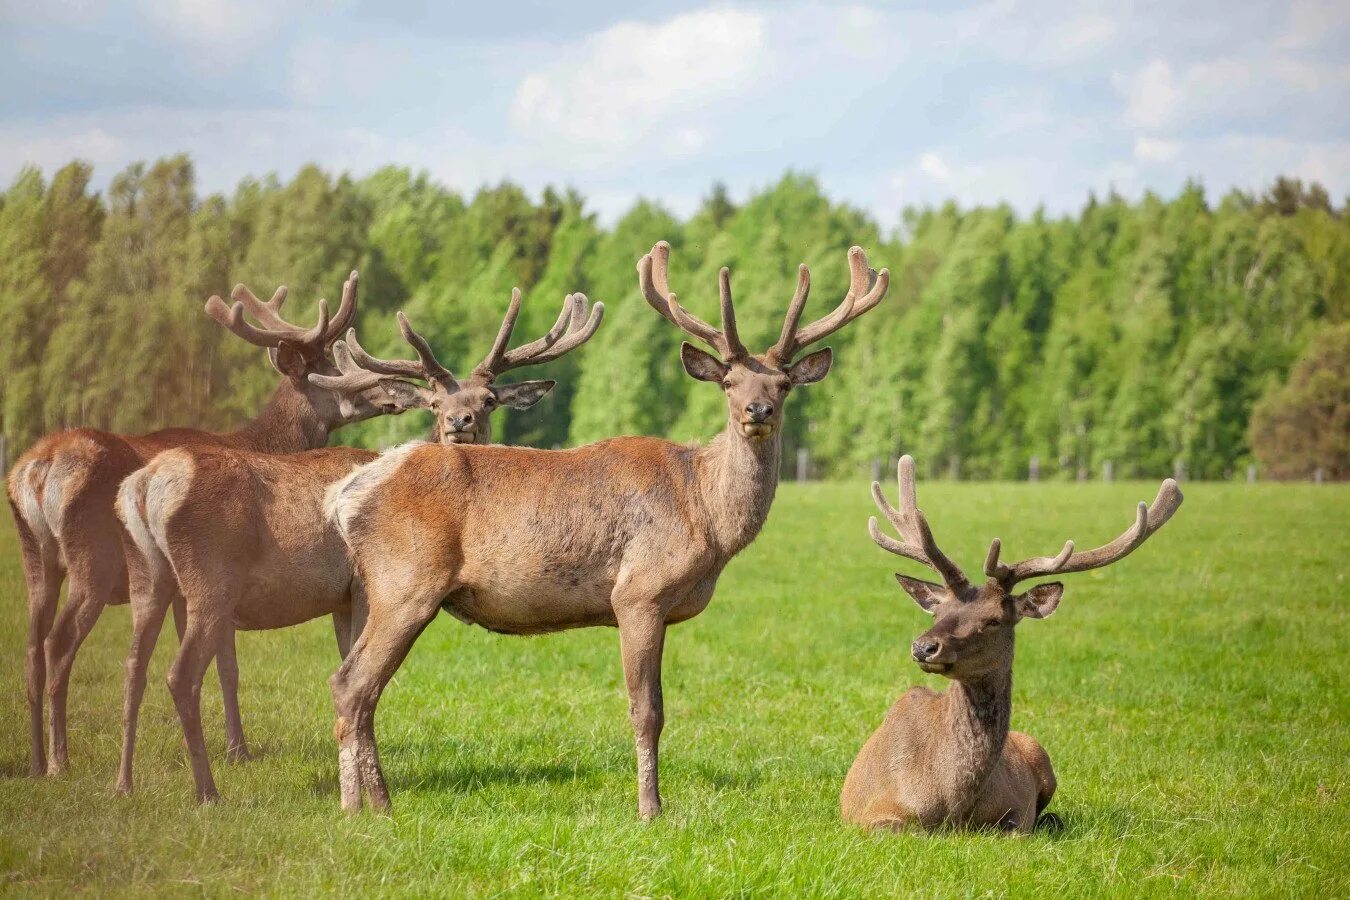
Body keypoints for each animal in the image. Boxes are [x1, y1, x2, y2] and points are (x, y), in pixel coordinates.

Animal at [3, 272, 394, 777]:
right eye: (326, 367)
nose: (386, 390)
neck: (262, 443)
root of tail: (38, 469)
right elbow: (226, 668)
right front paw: (237, 749)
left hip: (35, 558)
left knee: (31, 647)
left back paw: (36, 761)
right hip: (93, 561)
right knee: (57, 644)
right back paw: (59, 760)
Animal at [114, 290, 602, 804]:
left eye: (488, 400)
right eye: (434, 402)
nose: (460, 421)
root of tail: (143, 485)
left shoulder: (345, 598)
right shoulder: (363, 590)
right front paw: (367, 791)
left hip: (148, 579)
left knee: (133, 667)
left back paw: (124, 782)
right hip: (211, 584)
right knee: (181, 675)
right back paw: (207, 791)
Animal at [322, 238, 891, 814]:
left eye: (783, 383)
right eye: (729, 381)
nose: (758, 409)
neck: (704, 514)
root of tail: (345, 494)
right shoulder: (638, 591)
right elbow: (648, 711)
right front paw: (650, 809)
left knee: (359, 688)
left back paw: (371, 805)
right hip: (407, 581)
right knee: (351, 684)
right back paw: (365, 807)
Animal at [837, 461, 1177, 836]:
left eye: (994, 620)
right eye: (939, 611)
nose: (924, 647)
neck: (953, 805)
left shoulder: (1014, 814)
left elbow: (1016, 830)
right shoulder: (873, 814)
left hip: (1039, 751)